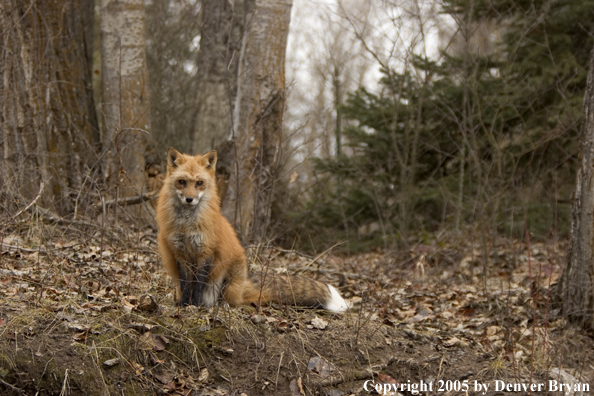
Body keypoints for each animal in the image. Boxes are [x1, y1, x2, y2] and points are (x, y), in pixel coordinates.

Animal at [155, 148, 350, 312]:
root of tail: (244, 283)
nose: (189, 199)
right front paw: (184, 304)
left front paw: (195, 304)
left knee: (232, 300)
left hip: (229, 280)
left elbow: (197, 285)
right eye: (182, 182)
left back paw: (218, 305)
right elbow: (185, 284)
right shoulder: (180, 254)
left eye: (199, 183)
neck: (187, 225)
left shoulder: (206, 252)